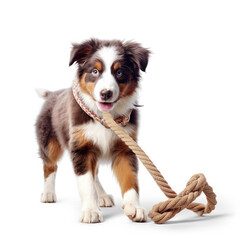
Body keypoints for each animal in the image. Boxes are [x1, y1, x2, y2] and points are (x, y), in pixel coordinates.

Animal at [35, 38, 150, 223]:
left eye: (119, 73)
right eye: (95, 71)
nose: (105, 93)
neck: (105, 117)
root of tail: (52, 94)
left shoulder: (126, 147)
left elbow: (130, 179)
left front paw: (134, 207)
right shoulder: (81, 148)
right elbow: (86, 182)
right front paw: (90, 210)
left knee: (94, 173)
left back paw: (102, 196)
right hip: (50, 141)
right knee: (50, 165)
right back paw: (48, 193)